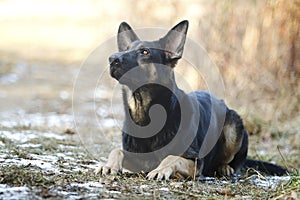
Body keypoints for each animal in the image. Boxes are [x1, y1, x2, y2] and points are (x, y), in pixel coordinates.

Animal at [96, 20, 288, 180]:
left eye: (145, 51)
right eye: (124, 49)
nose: (112, 58)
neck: (147, 115)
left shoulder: (195, 161)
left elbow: (171, 157)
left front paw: (160, 169)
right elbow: (116, 150)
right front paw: (108, 165)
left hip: (233, 126)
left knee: (234, 161)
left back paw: (224, 168)